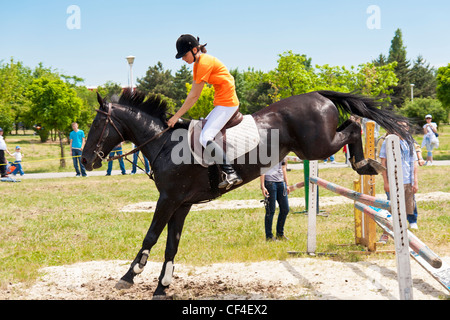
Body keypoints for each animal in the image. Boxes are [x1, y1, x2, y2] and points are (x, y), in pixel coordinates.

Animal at [81, 89, 408, 298]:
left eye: (96, 124)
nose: (84, 161)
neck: (165, 143)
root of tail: (319, 95)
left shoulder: (169, 200)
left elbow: (150, 237)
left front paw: (128, 277)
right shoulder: (181, 204)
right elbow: (171, 245)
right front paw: (162, 287)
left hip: (318, 145)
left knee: (353, 126)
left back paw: (366, 163)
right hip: (313, 147)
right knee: (351, 125)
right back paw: (366, 164)